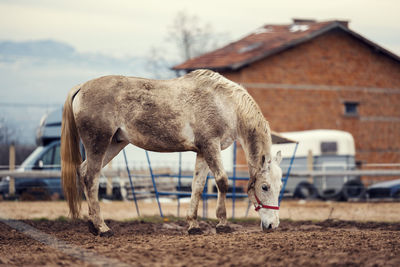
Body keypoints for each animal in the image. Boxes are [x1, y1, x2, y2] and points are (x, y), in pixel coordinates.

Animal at [61, 69, 282, 237]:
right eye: (264, 187)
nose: (273, 225)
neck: (225, 104)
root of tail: (81, 87)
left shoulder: (203, 152)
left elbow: (197, 187)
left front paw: (193, 225)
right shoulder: (211, 145)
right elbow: (222, 181)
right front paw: (222, 224)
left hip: (114, 145)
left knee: (83, 172)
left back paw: (92, 225)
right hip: (98, 144)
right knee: (91, 179)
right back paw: (103, 228)